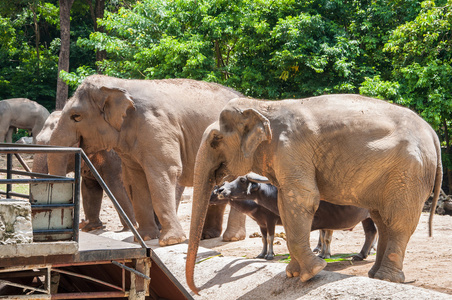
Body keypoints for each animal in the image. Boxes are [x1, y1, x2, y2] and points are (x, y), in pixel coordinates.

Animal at [46, 75, 247, 246]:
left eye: (76, 117)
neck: (119, 84)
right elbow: (136, 179)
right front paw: (146, 238)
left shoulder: (157, 127)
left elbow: (163, 173)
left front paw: (170, 241)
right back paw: (207, 236)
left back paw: (232, 237)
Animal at [212, 172, 378, 262]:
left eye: (242, 180)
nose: (221, 190)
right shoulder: (265, 223)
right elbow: (266, 239)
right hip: (367, 218)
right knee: (371, 232)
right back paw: (361, 255)